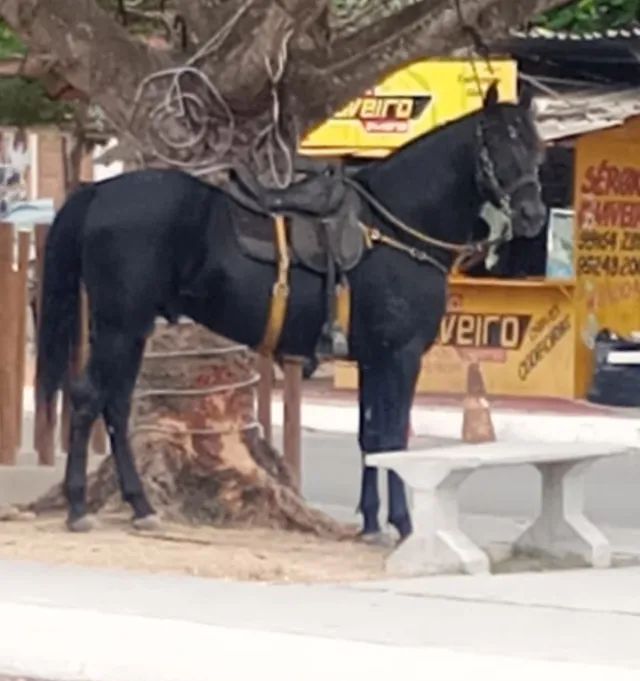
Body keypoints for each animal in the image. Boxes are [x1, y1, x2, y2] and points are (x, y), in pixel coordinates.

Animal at [36, 82, 546, 537]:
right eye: (498, 143)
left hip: (130, 329)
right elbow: (393, 439)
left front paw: (370, 522)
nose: (533, 215)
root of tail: (99, 193)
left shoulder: (373, 359)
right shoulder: (400, 356)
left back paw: (140, 506)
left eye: (536, 148)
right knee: (90, 400)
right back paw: (80, 508)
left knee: (115, 405)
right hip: (120, 326)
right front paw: (401, 524)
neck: (394, 228)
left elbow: (371, 438)